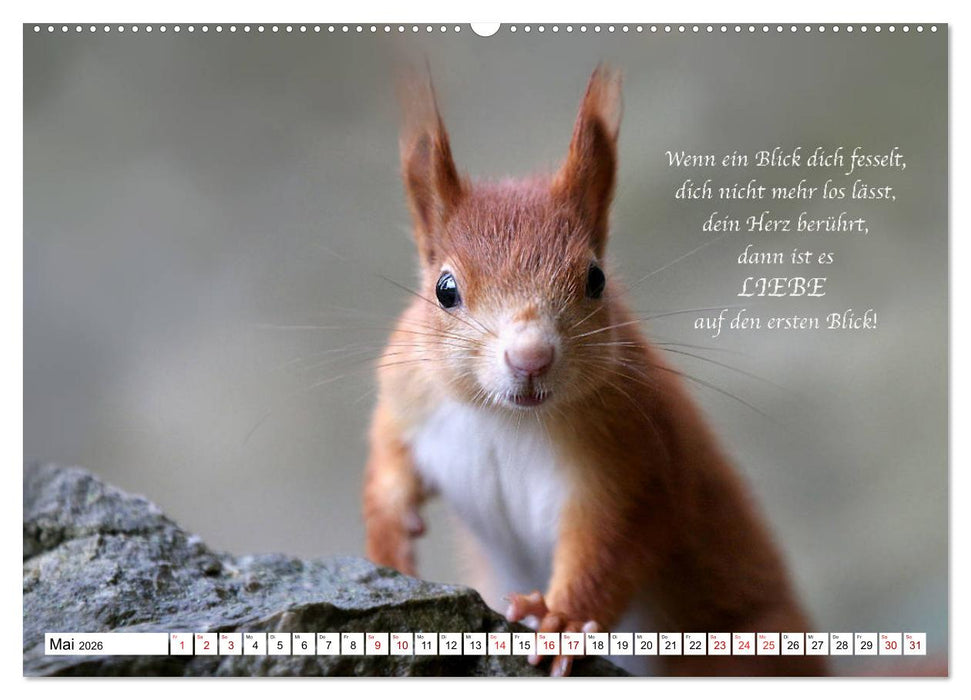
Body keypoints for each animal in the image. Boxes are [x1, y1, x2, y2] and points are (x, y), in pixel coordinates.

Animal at [363, 67, 825, 677]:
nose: (530, 357)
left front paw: (561, 622)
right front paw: (388, 537)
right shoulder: (409, 393)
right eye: (444, 289)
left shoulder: (633, 454)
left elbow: (613, 545)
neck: (502, 419)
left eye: (596, 279)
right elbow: (387, 458)